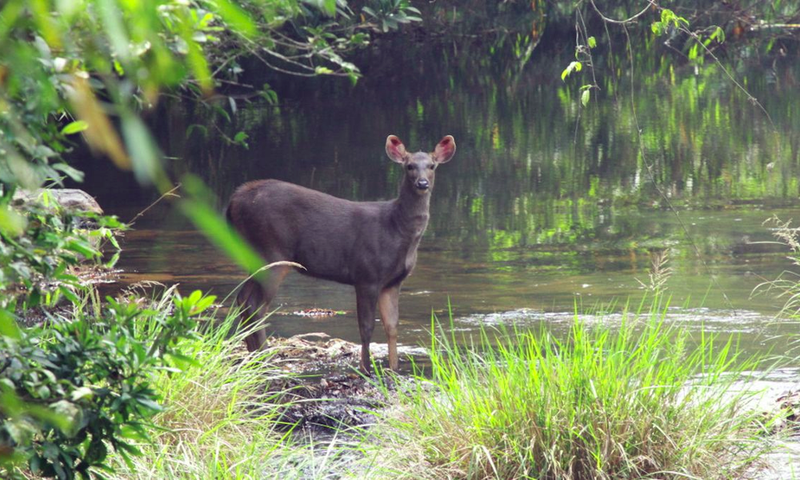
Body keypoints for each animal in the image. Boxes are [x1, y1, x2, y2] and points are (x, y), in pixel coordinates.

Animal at [228, 134, 456, 372]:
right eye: (409, 166)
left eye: (432, 166)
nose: (422, 183)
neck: (397, 229)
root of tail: (234, 200)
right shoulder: (367, 274)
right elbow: (366, 326)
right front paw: (366, 369)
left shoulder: (393, 282)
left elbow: (392, 326)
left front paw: (394, 369)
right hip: (272, 251)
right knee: (256, 304)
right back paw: (263, 357)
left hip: (253, 253)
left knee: (243, 298)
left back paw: (254, 356)